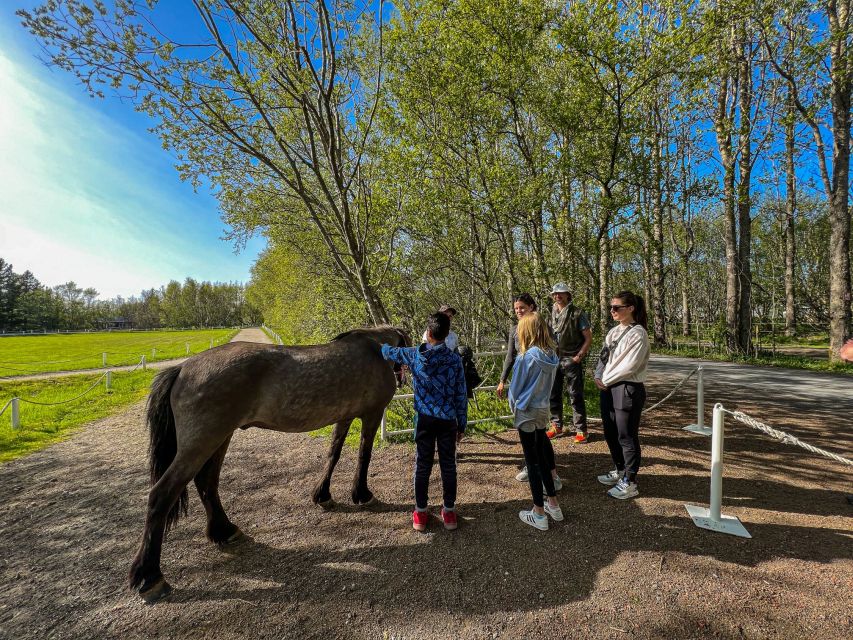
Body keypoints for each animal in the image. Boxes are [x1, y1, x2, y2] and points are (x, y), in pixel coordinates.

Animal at [128, 328, 414, 604]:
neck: (375, 347)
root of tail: (182, 369)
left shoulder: (345, 417)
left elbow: (334, 453)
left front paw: (323, 494)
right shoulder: (371, 414)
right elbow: (364, 455)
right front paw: (362, 494)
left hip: (219, 437)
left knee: (207, 482)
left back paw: (224, 530)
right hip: (202, 442)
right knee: (162, 494)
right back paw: (151, 577)